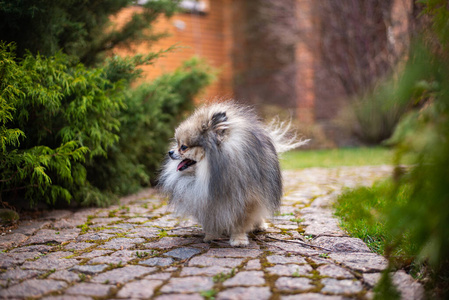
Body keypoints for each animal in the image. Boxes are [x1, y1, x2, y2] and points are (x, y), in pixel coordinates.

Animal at [158, 101, 308, 246]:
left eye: (183, 147)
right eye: (176, 143)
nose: (170, 152)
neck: (209, 173)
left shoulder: (247, 198)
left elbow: (240, 222)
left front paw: (238, 239)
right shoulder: (206, 199)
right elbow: (210, 219)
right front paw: (210, 236)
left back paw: (259, 225)